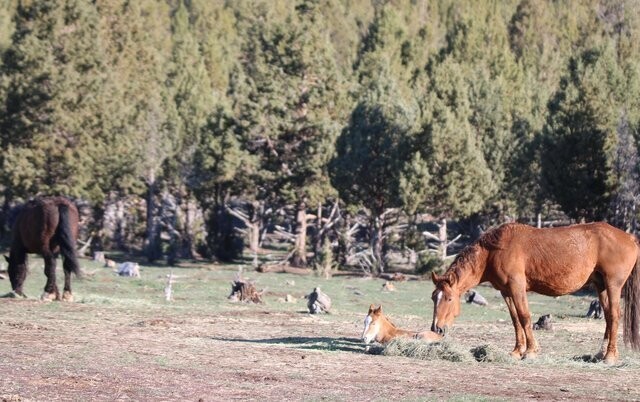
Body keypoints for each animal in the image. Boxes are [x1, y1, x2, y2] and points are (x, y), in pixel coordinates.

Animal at [430, 221, 640, 362]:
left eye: (449, 299)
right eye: (434, 298)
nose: (436, 328)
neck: (494, 251)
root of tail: (629, 237)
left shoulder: (517, 288)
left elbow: (524, 317)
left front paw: (530, 352)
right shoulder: (506, 292)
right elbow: (515, 320)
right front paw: (517, 351)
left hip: (613, 285)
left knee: (614, 316)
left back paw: (610, 356)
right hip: (601, 286)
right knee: (608, 317)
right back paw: (600, 353)